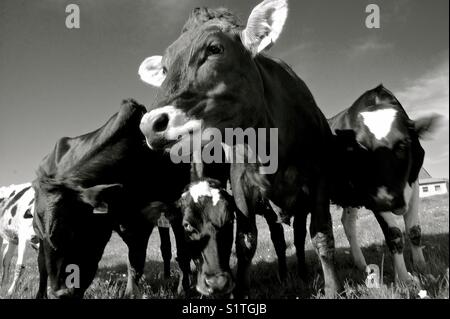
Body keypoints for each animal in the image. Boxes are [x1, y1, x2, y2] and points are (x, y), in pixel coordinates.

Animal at [32, 100, 192, 300]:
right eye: (39, 231)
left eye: (67, 232)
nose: (59, 294)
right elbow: (41, 264)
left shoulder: (145, 219)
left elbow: (136, 262)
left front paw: (131, 294)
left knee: (180, 250)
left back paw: (181, 285)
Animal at [138, 1, 342, 298]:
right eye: (164, 68)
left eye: (214, 49)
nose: (150, 125)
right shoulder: (241, 185)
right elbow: (246, 241)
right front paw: (242, 292)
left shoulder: (320, 180)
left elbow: (322, 235)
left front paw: (335, 289)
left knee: (299, 236)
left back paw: (302, 273)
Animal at [326, 84, 440, 282]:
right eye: (361, 149)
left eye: (403, 144)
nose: (387, 201)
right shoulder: (373, 196)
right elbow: (394, 234)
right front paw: (403, 278)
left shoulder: (414, 182)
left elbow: (414, 231)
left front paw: (422, 267)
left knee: (348, 223)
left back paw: (361, 264)